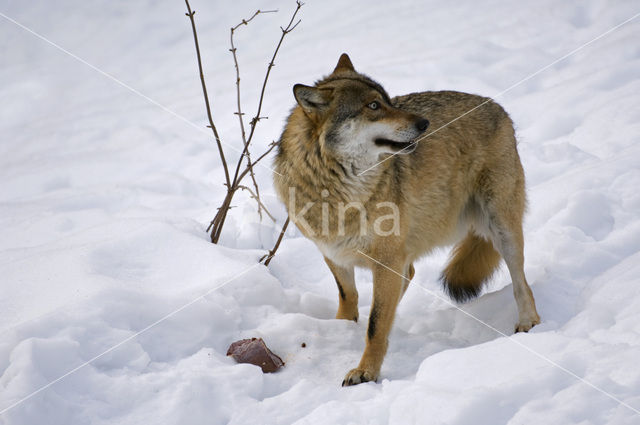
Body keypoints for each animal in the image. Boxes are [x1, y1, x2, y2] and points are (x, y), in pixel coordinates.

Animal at [272, 53, 540, 384]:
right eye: (374, 106)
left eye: (388, 100)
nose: (424, 124)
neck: (337, 189)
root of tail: (497, 106)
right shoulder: (334, 253)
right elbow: (349, 296)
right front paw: (343, 329)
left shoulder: (387, 260)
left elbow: (375, 324)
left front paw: (366, 372)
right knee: (409, 275)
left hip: (502, 228)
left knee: (521, 283)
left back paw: (529, 323)